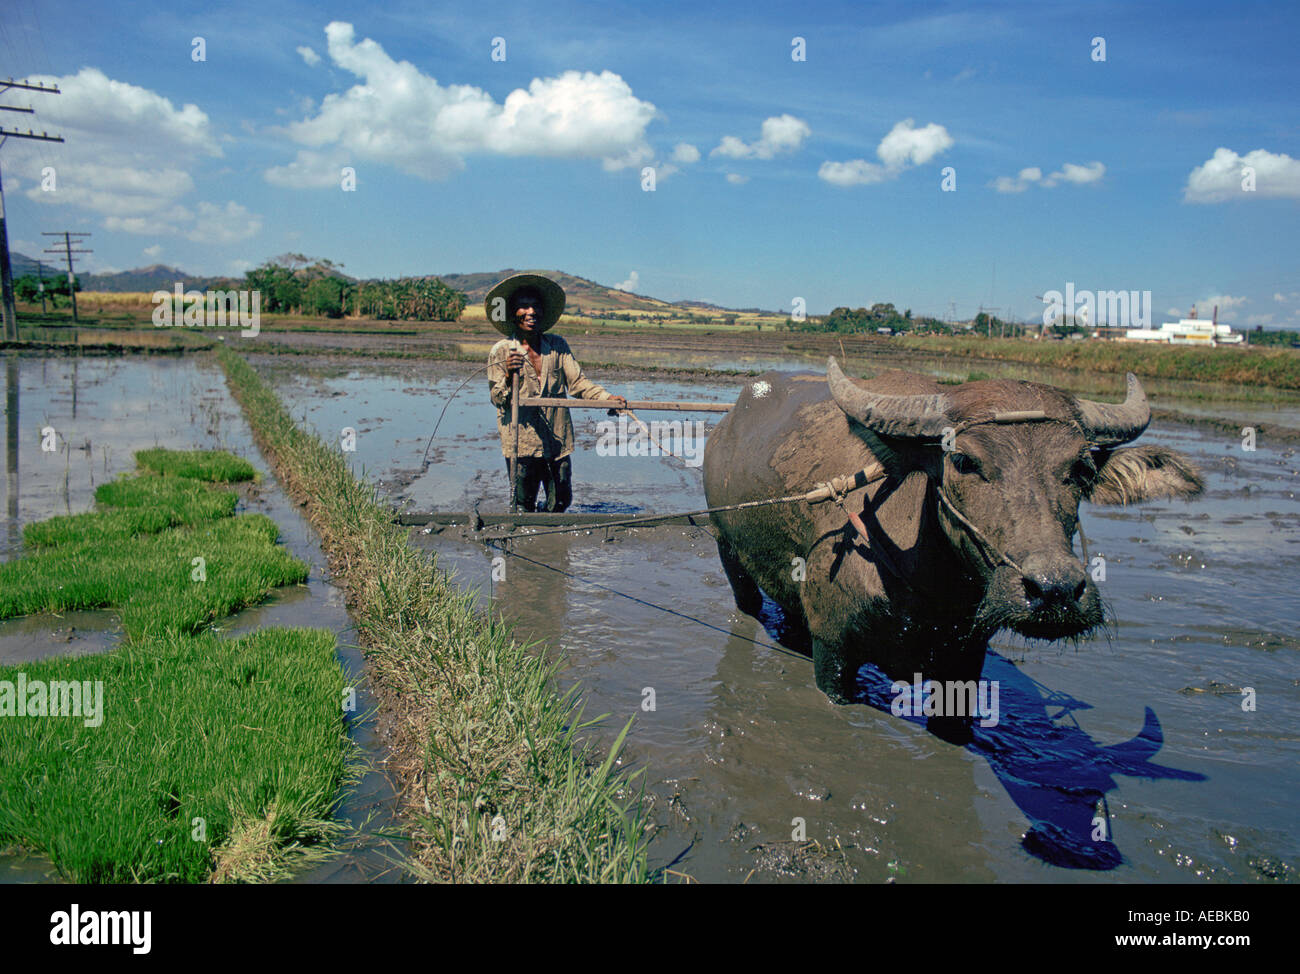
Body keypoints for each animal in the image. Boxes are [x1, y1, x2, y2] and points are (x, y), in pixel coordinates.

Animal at [703, 359, 1203, 736]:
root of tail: (726, 425)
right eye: (963, 460)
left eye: (1081, 468)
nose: (1055, 591)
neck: (933, 591)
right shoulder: (835, 652)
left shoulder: (964, 664)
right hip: (729, 553)